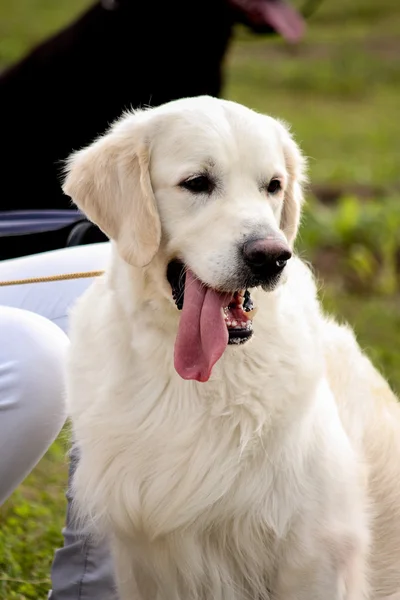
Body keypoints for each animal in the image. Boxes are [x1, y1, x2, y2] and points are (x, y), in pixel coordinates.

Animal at [63, 96, 400, 596]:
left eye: (273, 186)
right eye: (197, 183)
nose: (272, 256)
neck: (198, 380)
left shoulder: (317, 554)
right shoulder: (141, 556)